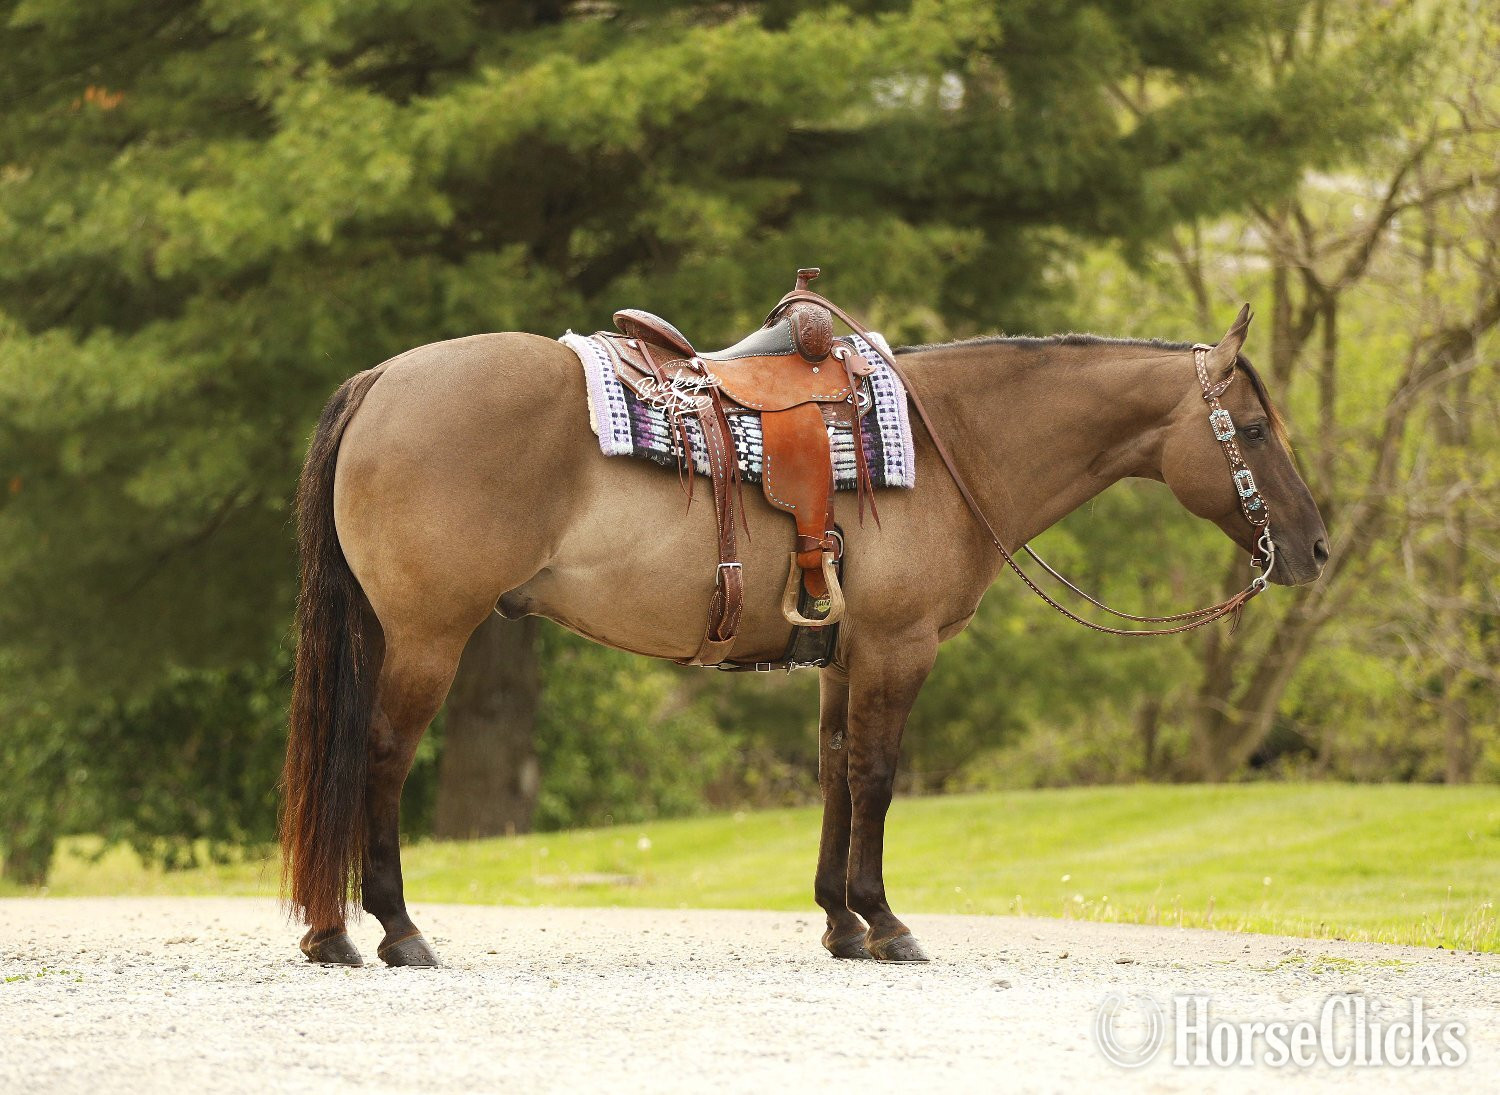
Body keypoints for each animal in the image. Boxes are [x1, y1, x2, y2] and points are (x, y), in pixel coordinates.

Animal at [280, 305, 1328, 967]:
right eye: (1252, 427)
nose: (1315, 546)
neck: (950, 444)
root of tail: (382, 378)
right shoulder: (901, 648)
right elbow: (877, 775)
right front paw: (885, 920)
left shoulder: (842, 658)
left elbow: (834, 773)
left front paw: (840, 922)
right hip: (427, 635)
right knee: (380, 756)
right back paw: (397, 930)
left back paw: (332, 934)